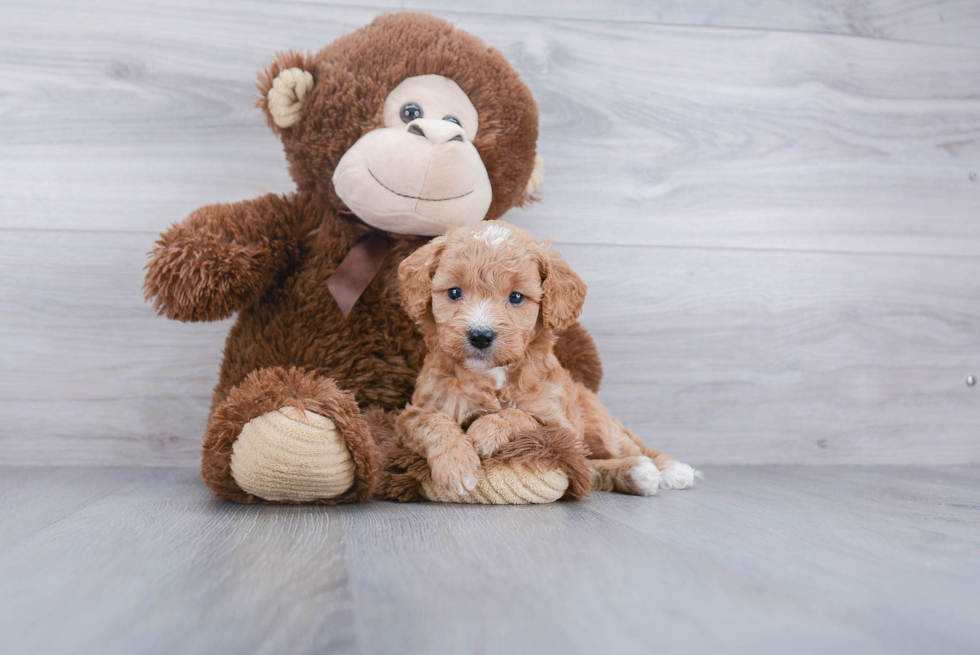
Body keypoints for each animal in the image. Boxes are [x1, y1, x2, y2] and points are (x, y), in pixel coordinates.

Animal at [396, 223, 696, 500]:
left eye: (516, 297)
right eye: (454, 292)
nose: (480, 335)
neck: (494, 375)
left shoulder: (558, 424)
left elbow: (524, 416)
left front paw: (485, 431)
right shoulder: (414, 413)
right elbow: (435, 422)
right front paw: (456, 466)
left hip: (601, 428)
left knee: (630, 446)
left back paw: (671, 469)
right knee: (590, 468)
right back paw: (636, 473)